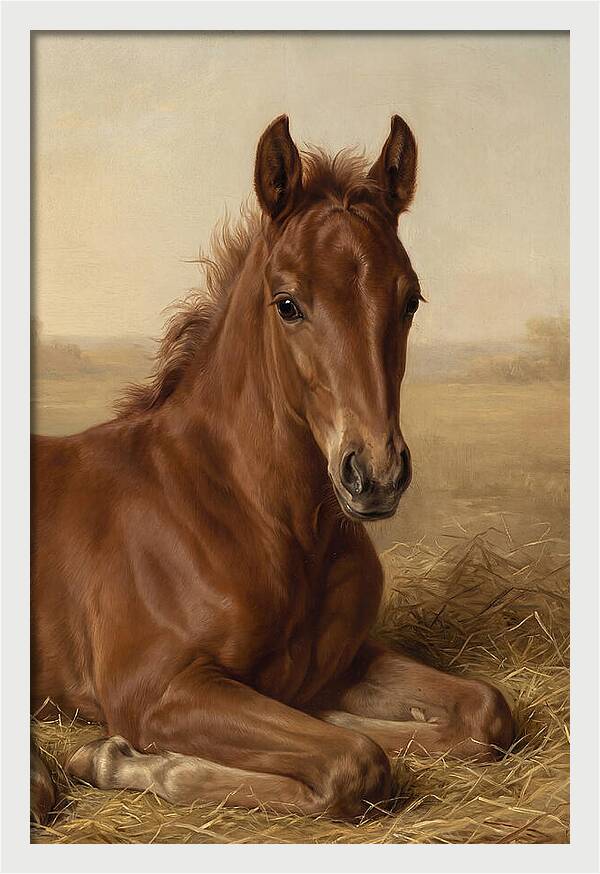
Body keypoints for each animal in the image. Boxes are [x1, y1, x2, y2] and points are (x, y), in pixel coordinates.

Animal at [31, 115, 514, 824]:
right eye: (287, 304)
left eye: (411, 300)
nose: (375, 474)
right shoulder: (154, 690)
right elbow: (354, 761)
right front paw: (118, 758)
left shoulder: (341, 662)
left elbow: (483, 711)